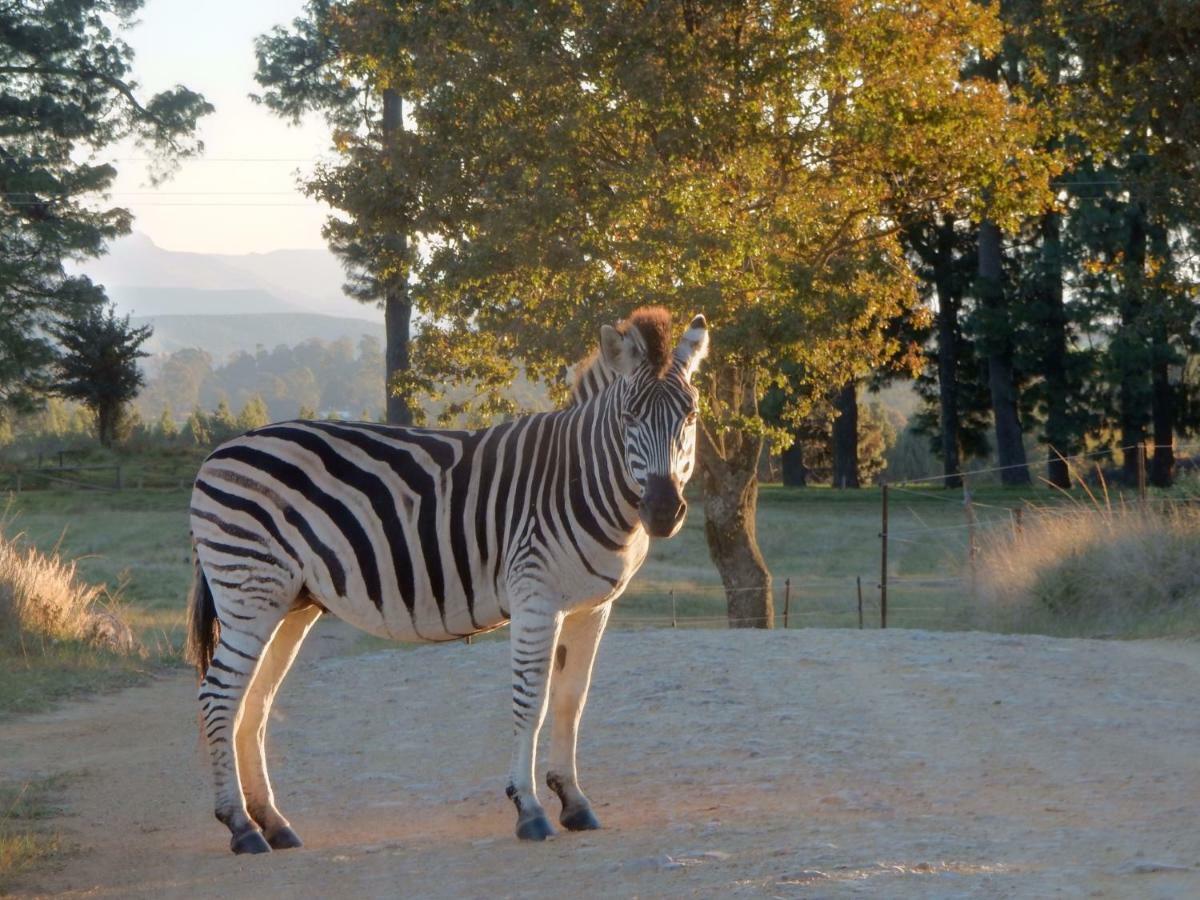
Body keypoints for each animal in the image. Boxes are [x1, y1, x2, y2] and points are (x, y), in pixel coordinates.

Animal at [183, 307, 705, 854]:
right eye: (629, 419)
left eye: (690, 417)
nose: (663, 511)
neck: (580, 477)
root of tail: (221, 450)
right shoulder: (535, 597)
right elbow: (531, 702)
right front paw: (529, 807)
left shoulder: (591, 606)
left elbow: (570, 701)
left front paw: (574, 801)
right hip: (250, 592)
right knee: (218, 698)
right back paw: (240, 827)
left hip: (290, 603)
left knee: (252, 705)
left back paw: (272, 822)